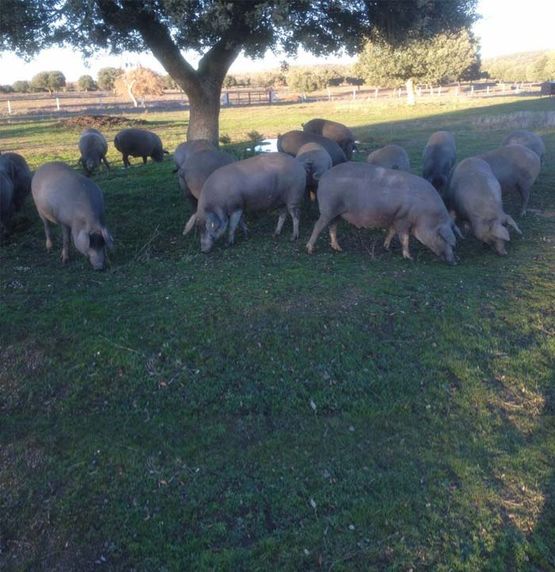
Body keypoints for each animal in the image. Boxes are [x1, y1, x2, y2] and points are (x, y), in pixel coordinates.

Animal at [308, 161, 460, 264]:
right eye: (445, 239)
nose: (453, 262)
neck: (425, 216)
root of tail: (324, 175)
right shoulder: (403, 219)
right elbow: (405, 238)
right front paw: (409, 257)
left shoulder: (395, 217)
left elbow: (391, 232)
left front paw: (386, 247)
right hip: (328, 208)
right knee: (317, 225)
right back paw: (310, 249)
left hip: (337, 213)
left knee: (332, 227)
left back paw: (338, 248)